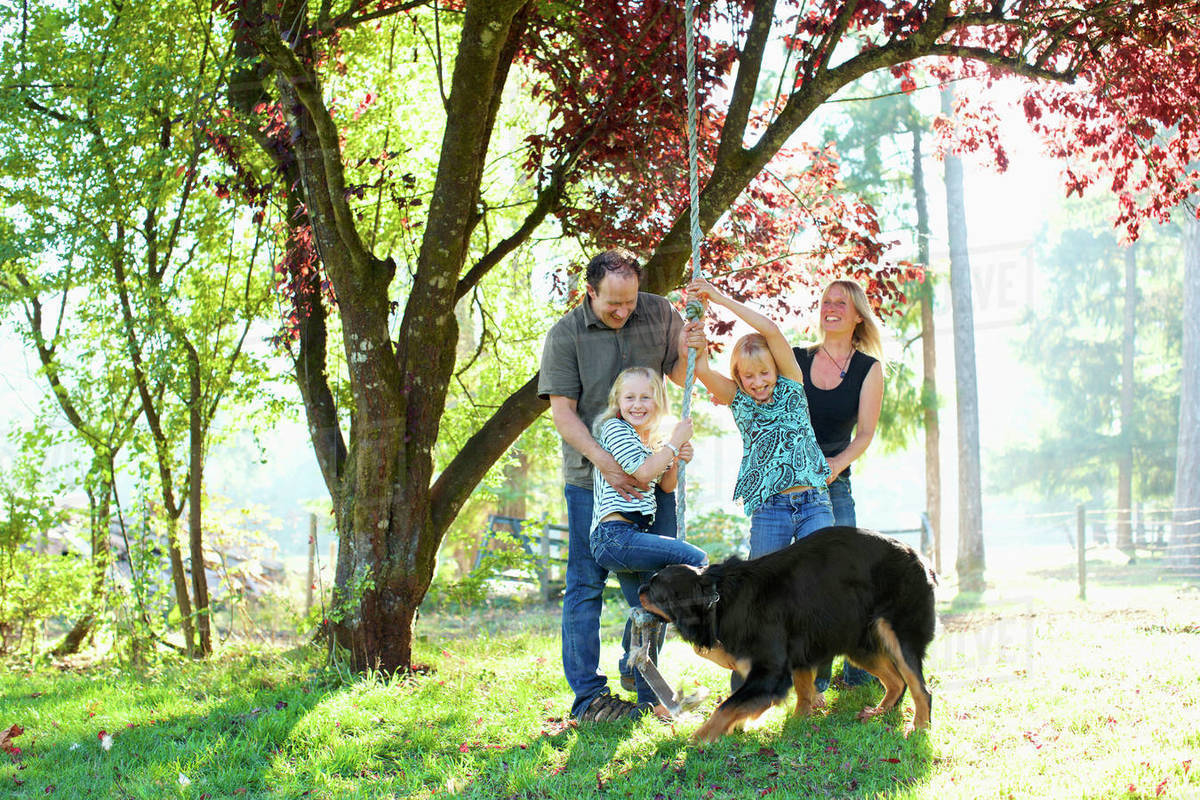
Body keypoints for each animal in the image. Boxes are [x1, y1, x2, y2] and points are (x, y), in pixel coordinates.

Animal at [638, 525, 936, 743]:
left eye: (653, 587)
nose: (639, 588)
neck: (717, 598)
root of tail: (919, 557)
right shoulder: (797, 654)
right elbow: (802, 693)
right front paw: (797, 722)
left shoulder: (771, 672)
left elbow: (727, 707)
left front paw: (697, 739)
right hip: (858, 643)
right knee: (897, 682)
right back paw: (879, 712)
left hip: (899, 636)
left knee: (921, 688)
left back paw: (919, 728)